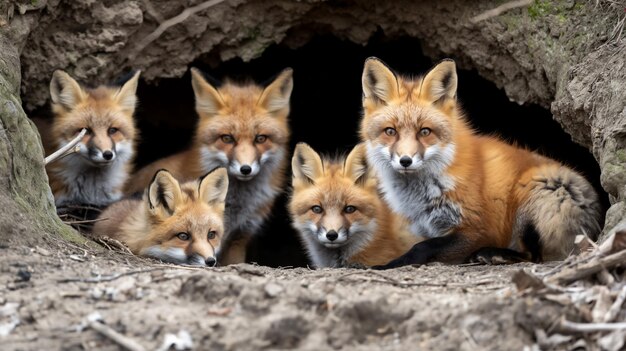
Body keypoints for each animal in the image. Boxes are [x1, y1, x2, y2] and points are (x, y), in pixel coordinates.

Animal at [358, 57, 604, 270]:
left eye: (424, 131)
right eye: (390, 131)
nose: (405, 161)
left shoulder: (477, 229)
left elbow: (422, 246)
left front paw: (386, 265)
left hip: (539, 188)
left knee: (533, 256)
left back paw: (493, 255)